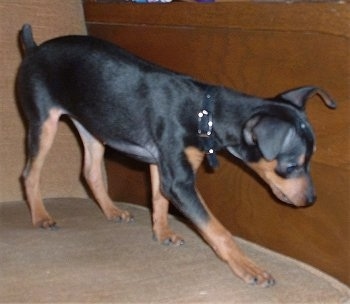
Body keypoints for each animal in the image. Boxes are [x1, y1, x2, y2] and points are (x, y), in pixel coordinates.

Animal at [17, 24, 336, 288]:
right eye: (292, 165)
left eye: (310, 161)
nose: (311, 200)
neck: (205, 111)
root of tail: (34, 48)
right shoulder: (179, 182)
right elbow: (217, 230)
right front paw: (249, 268)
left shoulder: (163, 167)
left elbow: (159, 201)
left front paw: (162, 234)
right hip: (44, 122)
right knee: (29, 174)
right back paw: (41, 217)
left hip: (93, 124)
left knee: (91, 171)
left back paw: (111, 211)